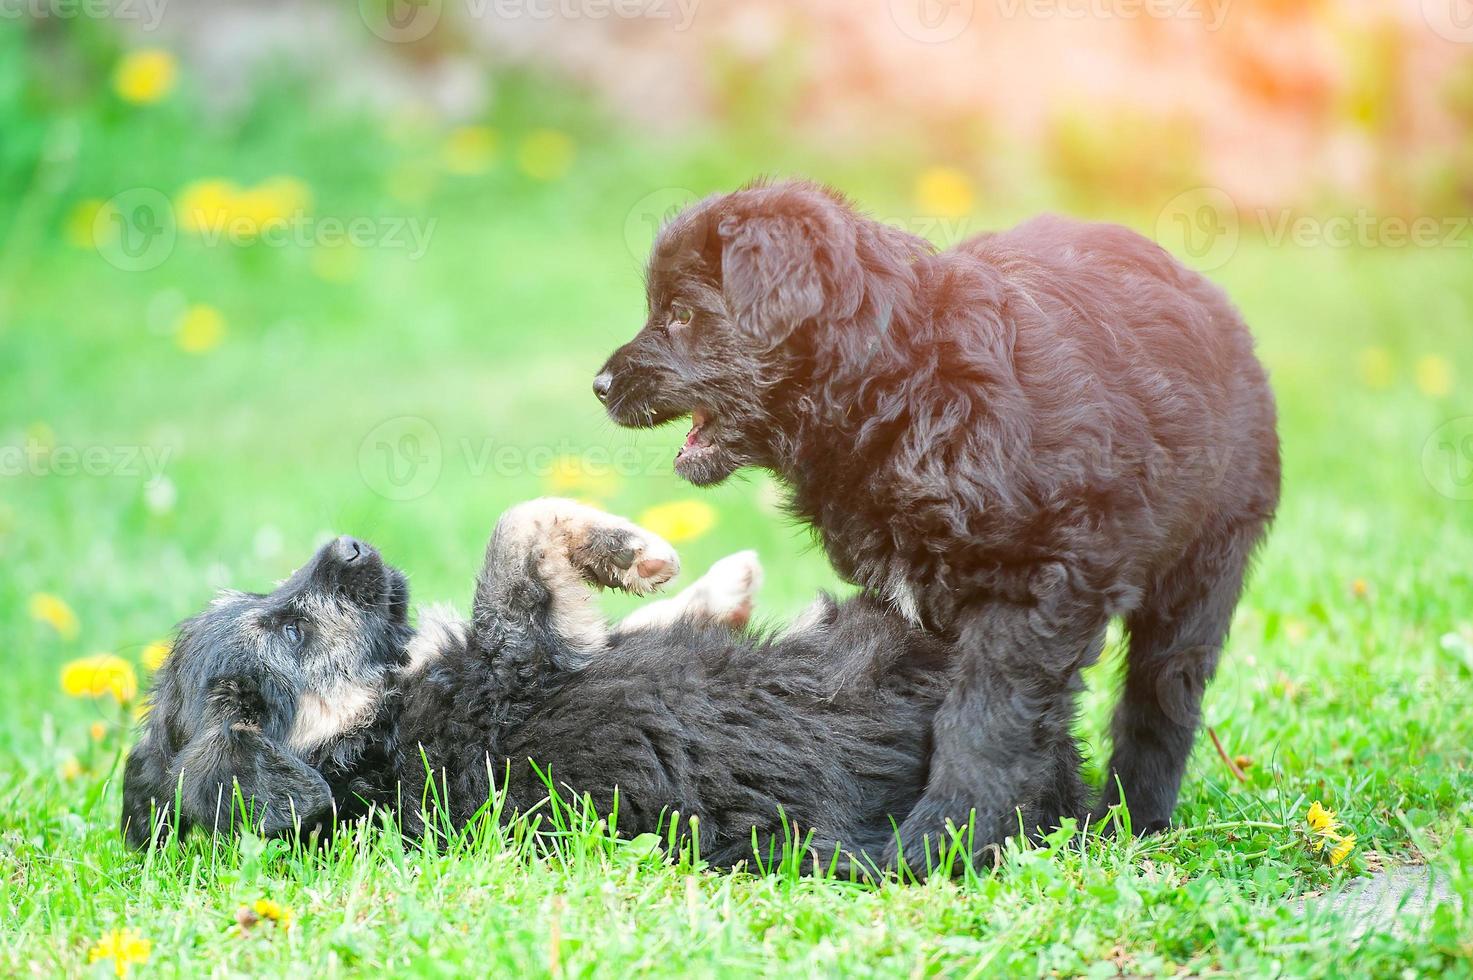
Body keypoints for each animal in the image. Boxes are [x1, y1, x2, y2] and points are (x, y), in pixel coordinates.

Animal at [126, 501, 954, 866]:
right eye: (292, 631)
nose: (349, 543)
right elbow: (519, 528)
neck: (369, 735)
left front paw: (723, 585)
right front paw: (638, 550)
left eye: (269, 601)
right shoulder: (519, 656)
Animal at [592, 177, 1284, 866]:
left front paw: (941, 841)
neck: (905, 385)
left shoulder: (1035, 585)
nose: (599, 385)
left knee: (1163, 695)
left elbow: (984, 720)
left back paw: (1134, 818)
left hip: (1205, 562)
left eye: (683, 315)